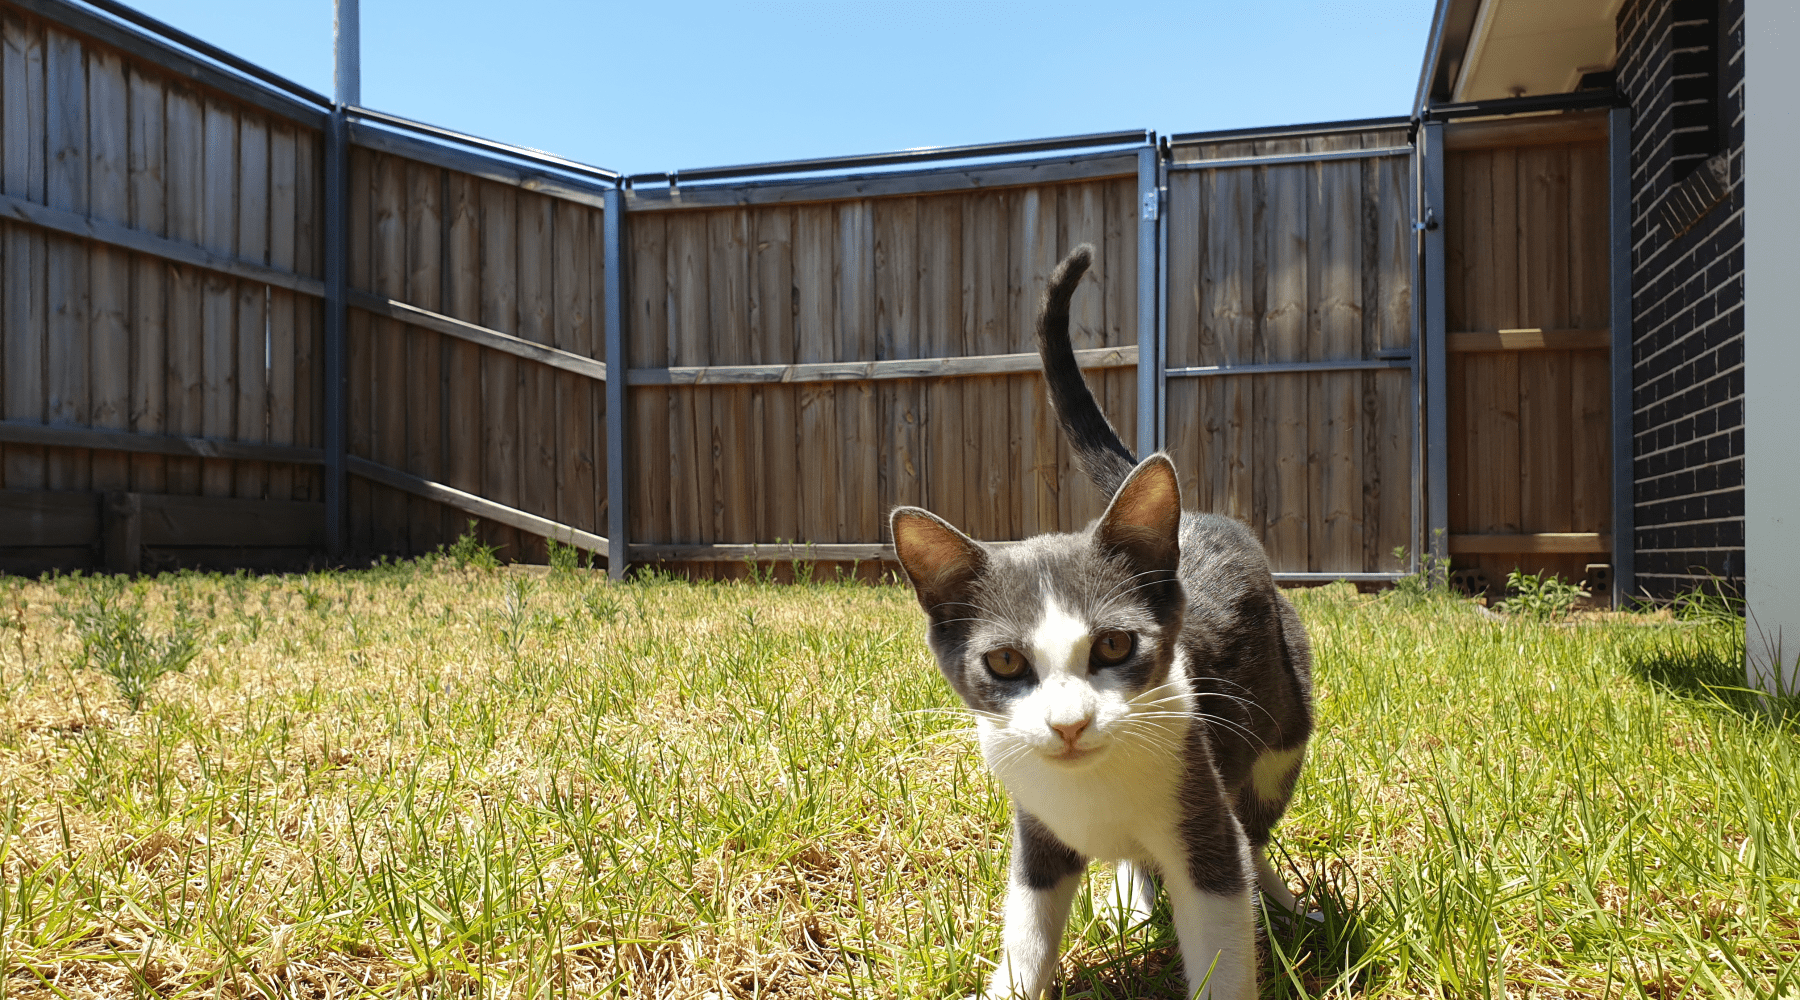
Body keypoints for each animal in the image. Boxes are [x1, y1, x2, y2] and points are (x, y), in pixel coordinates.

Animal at [892, 244, 1317, 1000]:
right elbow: (1028, 927)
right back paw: (1131, 898)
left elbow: (1222, 907)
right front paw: (1016, 978)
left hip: (1283, 720)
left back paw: (1283, 902)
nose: (1068, 725)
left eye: (1116, 645)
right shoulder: (1037, 829)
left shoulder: (1198, 812)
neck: (1091, 788)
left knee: (1257, 825)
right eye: (1005, 662)